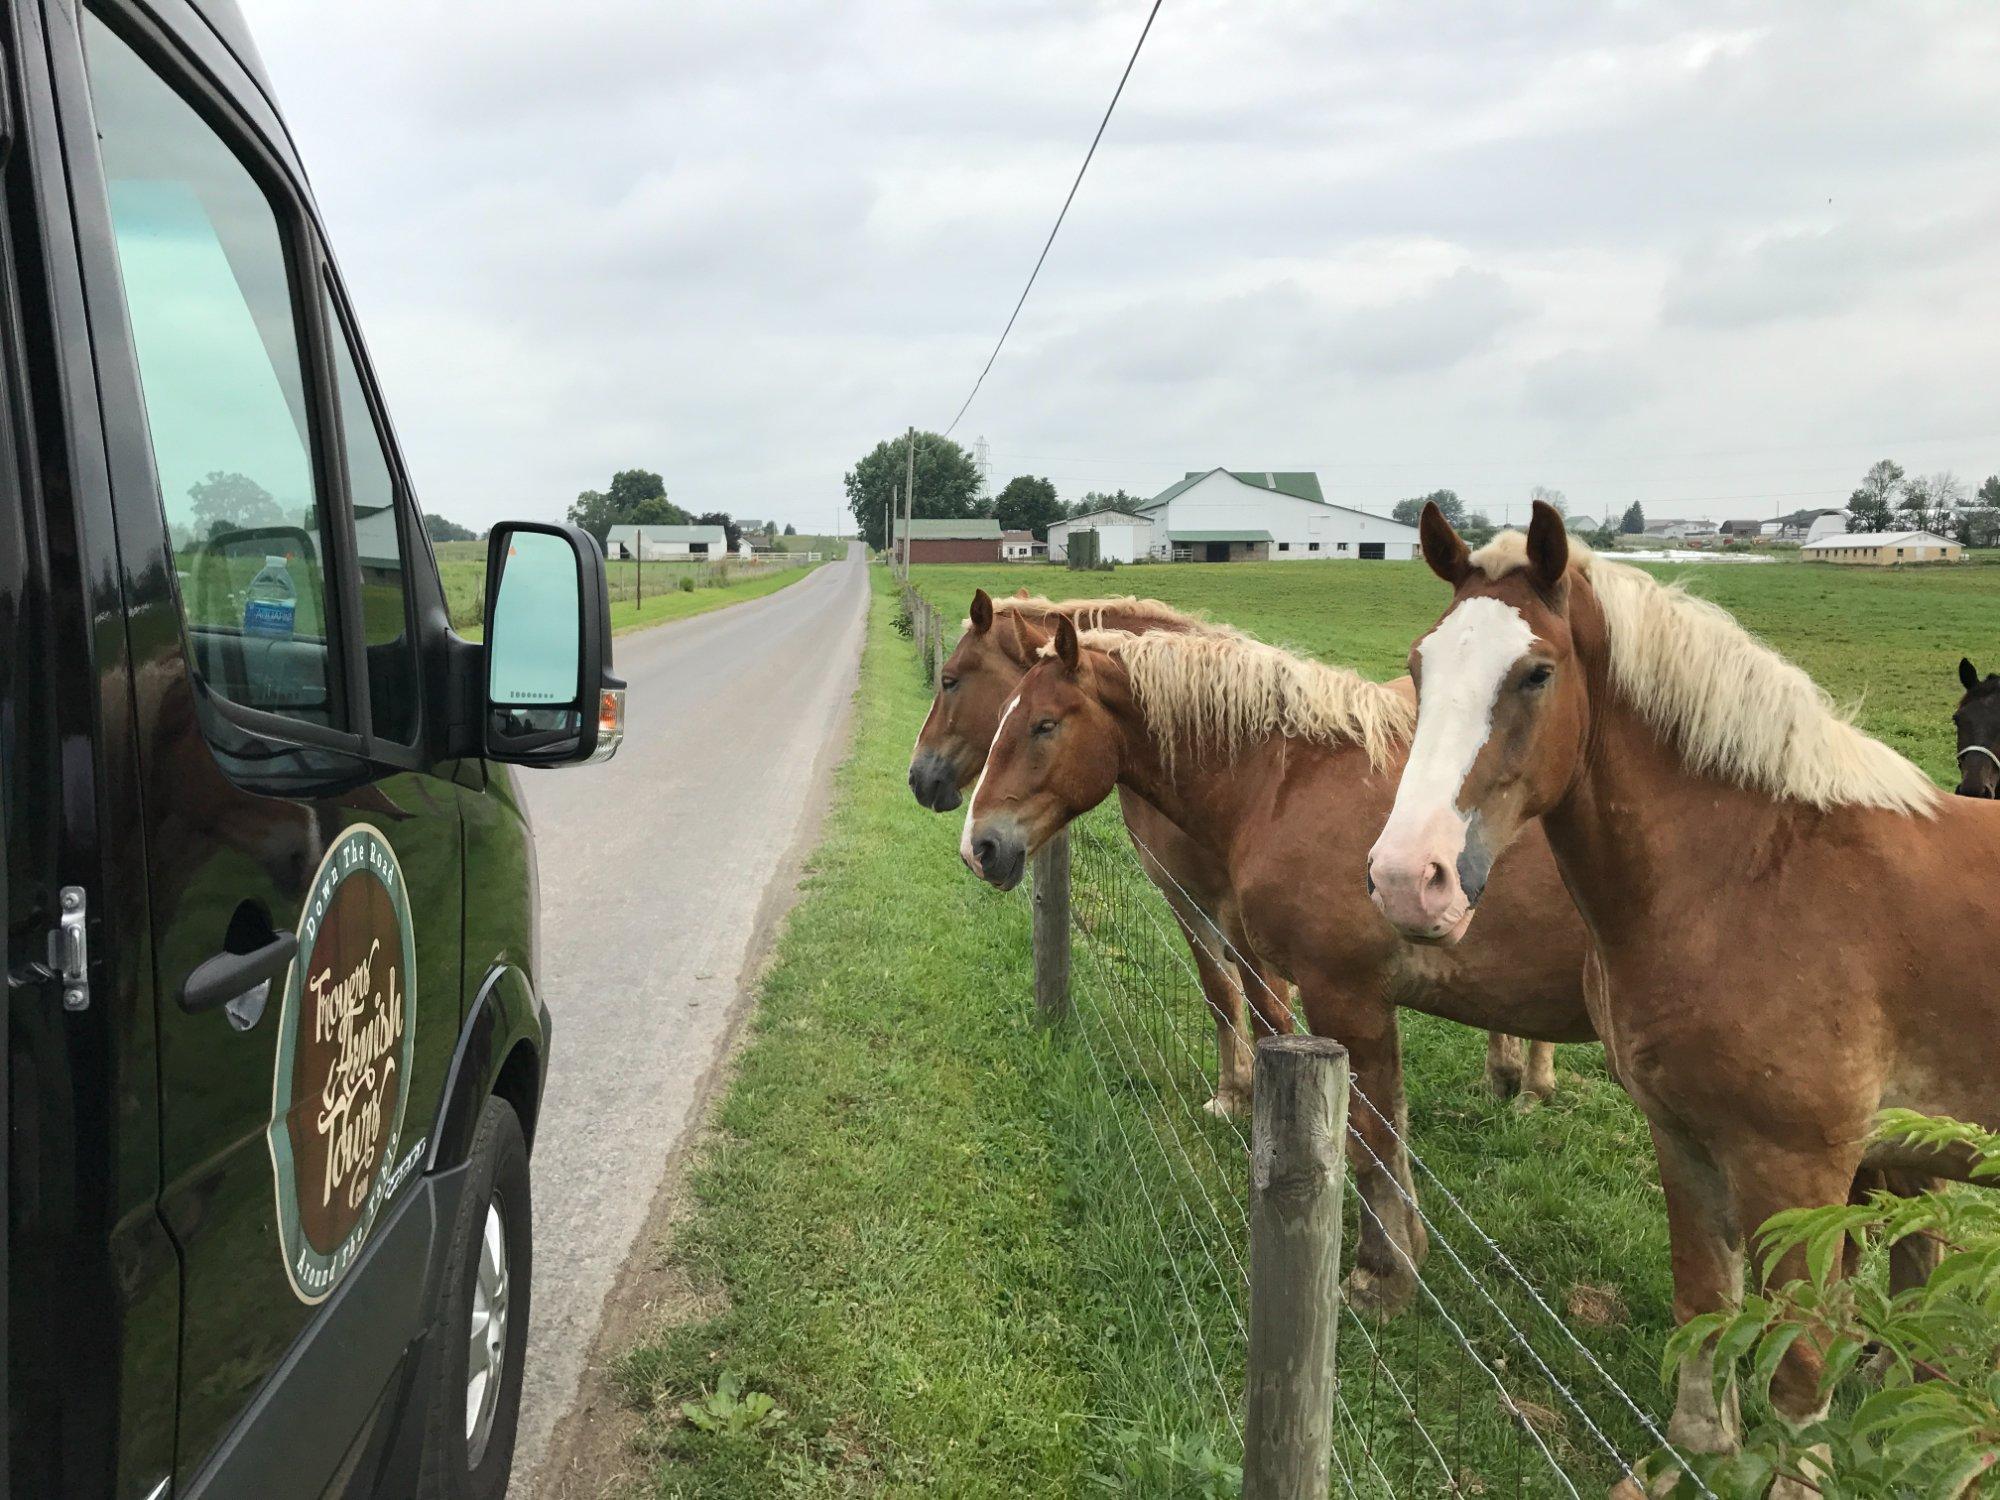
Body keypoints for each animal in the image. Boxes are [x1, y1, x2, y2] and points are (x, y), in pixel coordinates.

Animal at [952, 612, 1592, 1312]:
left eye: (1044, 724)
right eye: (1003, 714)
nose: (979, 846)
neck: (1289, 783)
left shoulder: (1346, 995)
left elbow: (1372, 1135)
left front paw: (1382, 1276)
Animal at [1360, 502, 1984, 1480]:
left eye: (1537, 673)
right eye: (1421, 665)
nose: (1403, 880)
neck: (1754, 881)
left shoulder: (1799, 1171)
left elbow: (1799, 1370)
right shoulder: (1684, 1136)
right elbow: (1705, 1307)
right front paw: (1701, 1448)